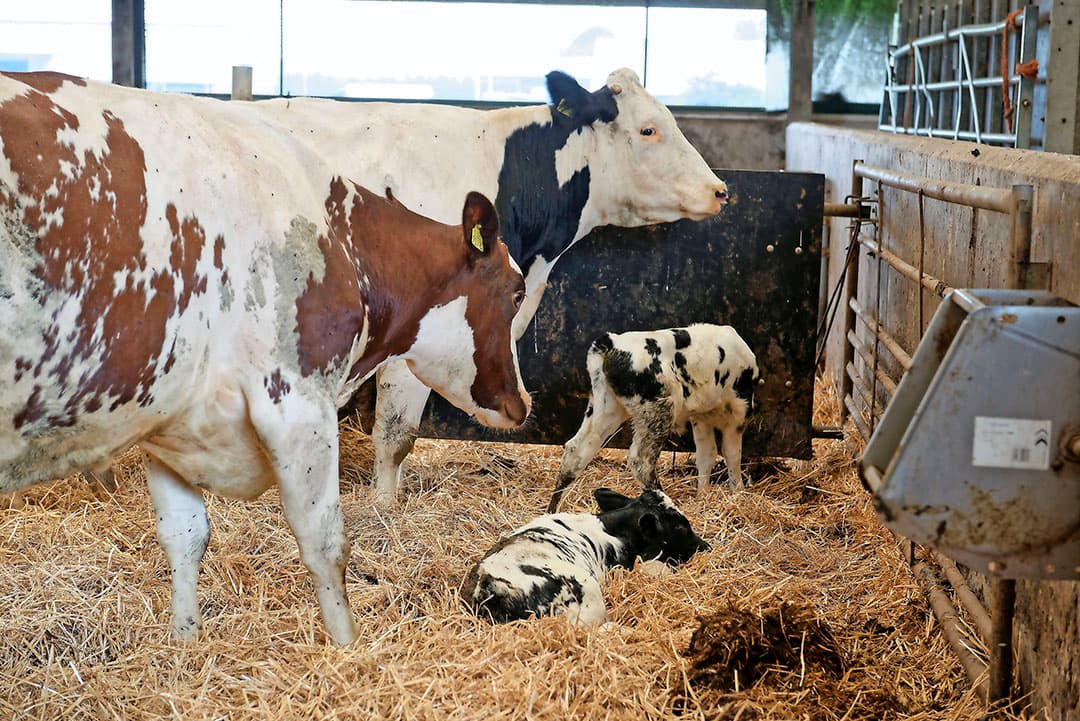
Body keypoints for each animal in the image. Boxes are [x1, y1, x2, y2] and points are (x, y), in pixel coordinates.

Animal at [0, 70, 530, 645]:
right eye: (518, 292)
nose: (524, 403)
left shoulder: (171, 423)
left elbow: (184, 536)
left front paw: (185, 646)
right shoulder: (295, 401)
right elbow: (325, 543)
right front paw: (347, 650)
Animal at [547, 324, 759, 514]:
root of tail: (613, 342)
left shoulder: (701, 416)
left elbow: (707, 455)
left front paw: (703, 496)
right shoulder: (739, 409)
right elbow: (732, 453)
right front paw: (738, 492)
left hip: (606, 407)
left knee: (576, 451)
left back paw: (552, 511)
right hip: (657, 410)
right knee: (641, 461)